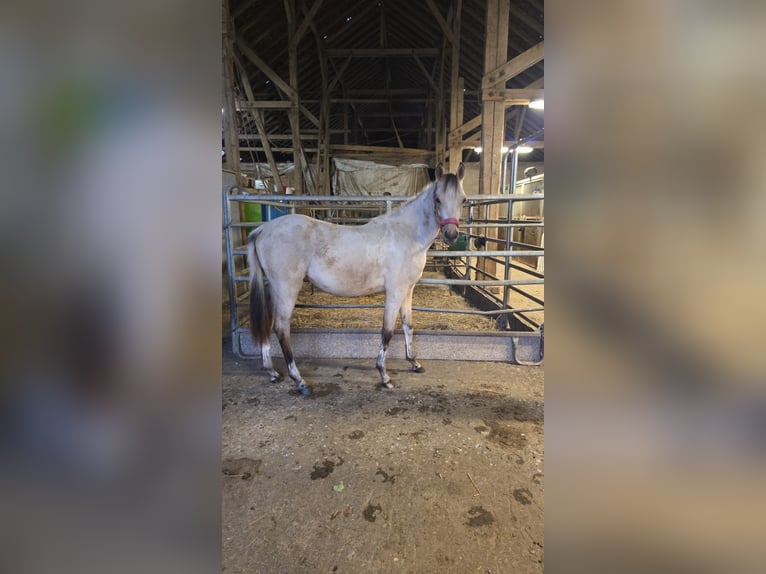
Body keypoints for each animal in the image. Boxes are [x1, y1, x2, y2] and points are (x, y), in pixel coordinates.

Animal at [247, 163, 466, 395]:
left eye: (463, 200)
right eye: (438, 199)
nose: (451, 235)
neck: (406, 235)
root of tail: (263, 229)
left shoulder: (408, 290)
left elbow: (408, 325)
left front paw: (414, 363)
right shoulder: (395, 291)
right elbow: (387, 332)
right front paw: (384, 376)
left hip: (274, 289)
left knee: (269, 323)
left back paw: (272, 373)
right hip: (287, 288)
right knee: (282, 328)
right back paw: (299, 381)